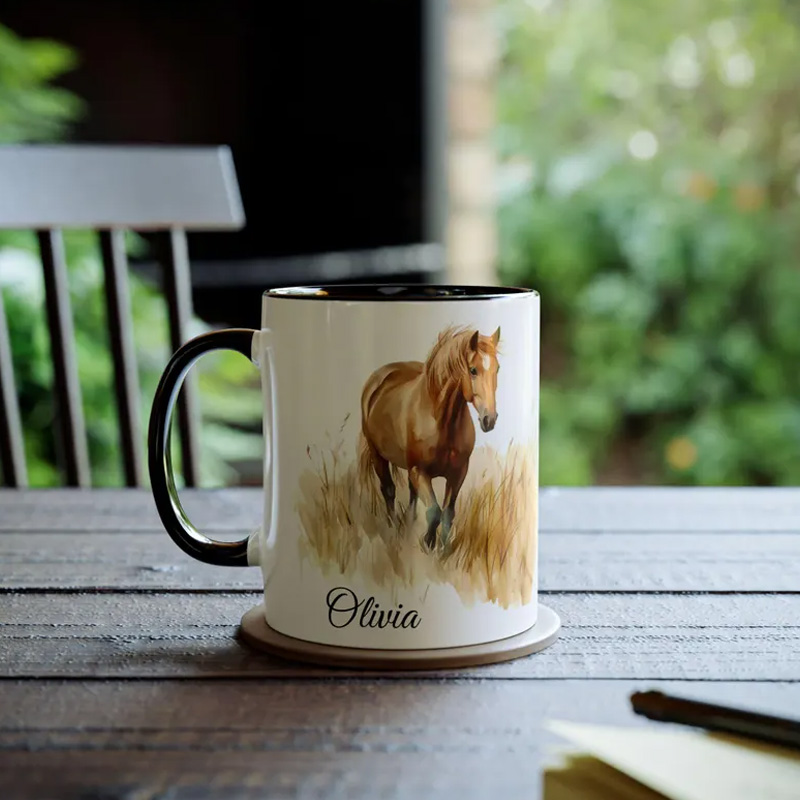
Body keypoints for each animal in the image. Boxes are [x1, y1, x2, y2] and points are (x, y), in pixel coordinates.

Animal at [359, 326, 501, 553]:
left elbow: (448, 513)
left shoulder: (458, 473)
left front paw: (443, 551)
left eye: (498, 369)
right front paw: (428, 545)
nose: (490, 419)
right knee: (388, 490)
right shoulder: (421, 471)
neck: (441, 423)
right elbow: (434, 512)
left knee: (411, 494)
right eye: (473, 370)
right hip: (378, 455)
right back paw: (392, 530)